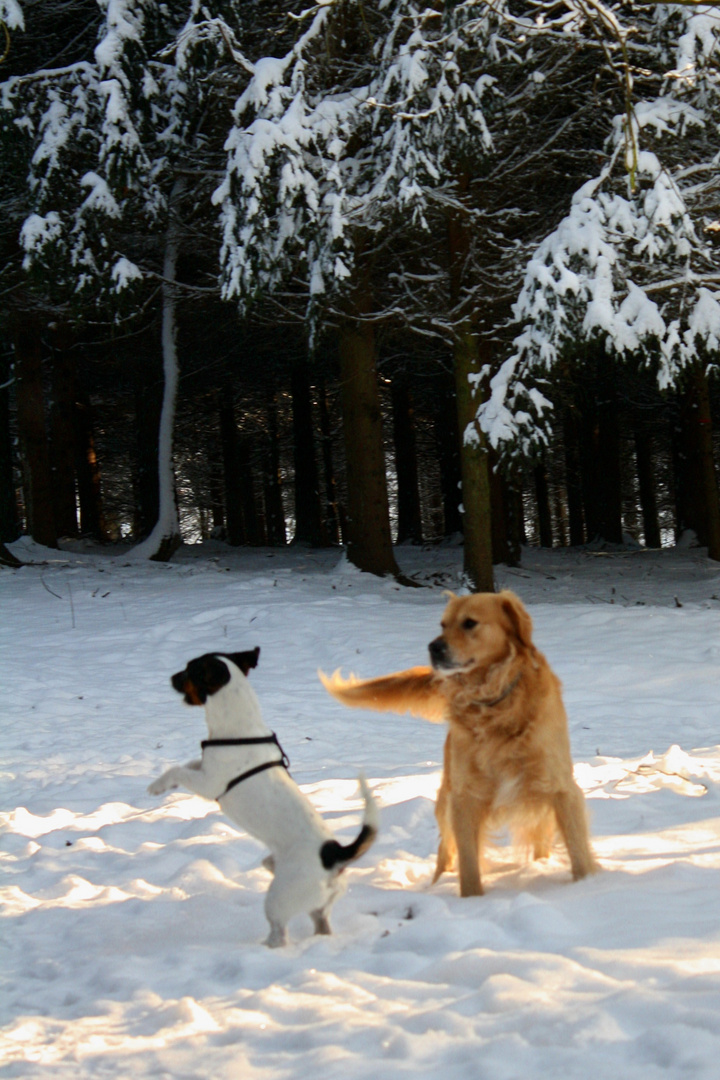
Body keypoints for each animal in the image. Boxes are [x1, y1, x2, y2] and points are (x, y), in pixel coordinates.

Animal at [148, 648, 379, 946]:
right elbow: (187, 764)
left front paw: (157, 786)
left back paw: (264, 948)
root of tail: (335, 857)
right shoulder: (203, 768)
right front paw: (164, 785)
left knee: (280, 933)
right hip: (315, 902)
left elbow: (178, 769)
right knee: (320, 924)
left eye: (189, 670)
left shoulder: (210, 783)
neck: (238, 728)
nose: (170, 677)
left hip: (278, 899)